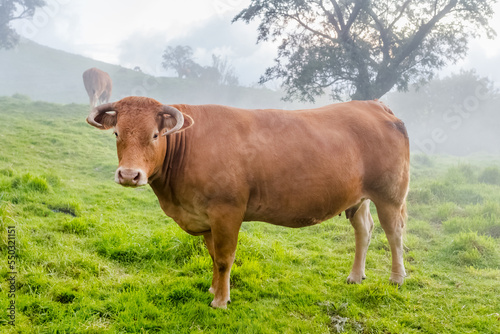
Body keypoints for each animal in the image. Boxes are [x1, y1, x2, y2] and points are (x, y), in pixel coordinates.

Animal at [87, 96, 410, 308]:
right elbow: (212, 256)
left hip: (390, 194)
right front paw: (213, 289)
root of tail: (372, 104)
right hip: (359, 197)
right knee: (364, 230)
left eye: (155, 135)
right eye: (117, 133)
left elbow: (224, 258)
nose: (129, 175)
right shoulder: (205, 217)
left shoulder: (226, 211)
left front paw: (221, 300)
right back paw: (355, 276)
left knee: (394, 234)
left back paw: (396, 278)